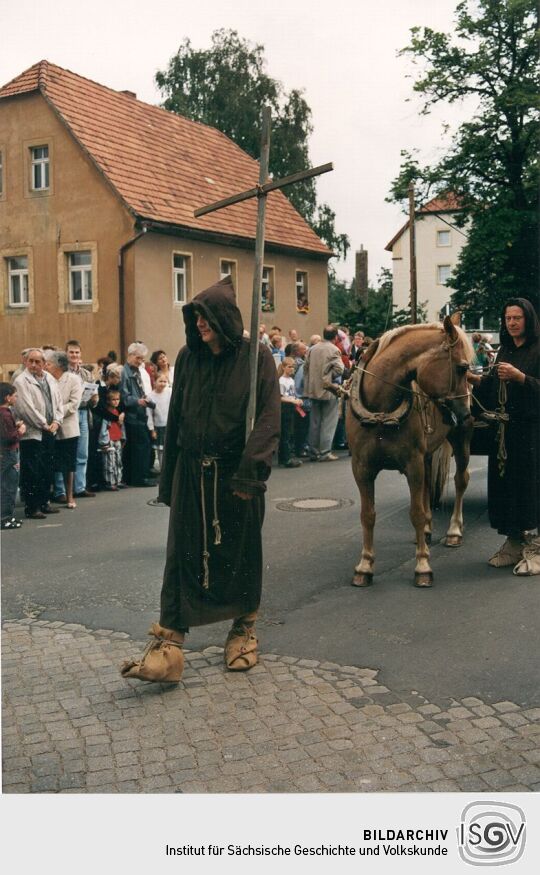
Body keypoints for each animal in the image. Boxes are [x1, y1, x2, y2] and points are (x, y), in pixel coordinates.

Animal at [346, 316, 472, 588]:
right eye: (461, 368)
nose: (466, 412)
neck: (381, 411)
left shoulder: (412, 464)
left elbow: (416, 512)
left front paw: (422, 565)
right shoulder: (361, 468)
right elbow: (368, 515)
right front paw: (365, 565)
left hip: (461, 440)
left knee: (461, 481)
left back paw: (454, 530)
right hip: (427, 454)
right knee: (427, 489)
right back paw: (426, 532)